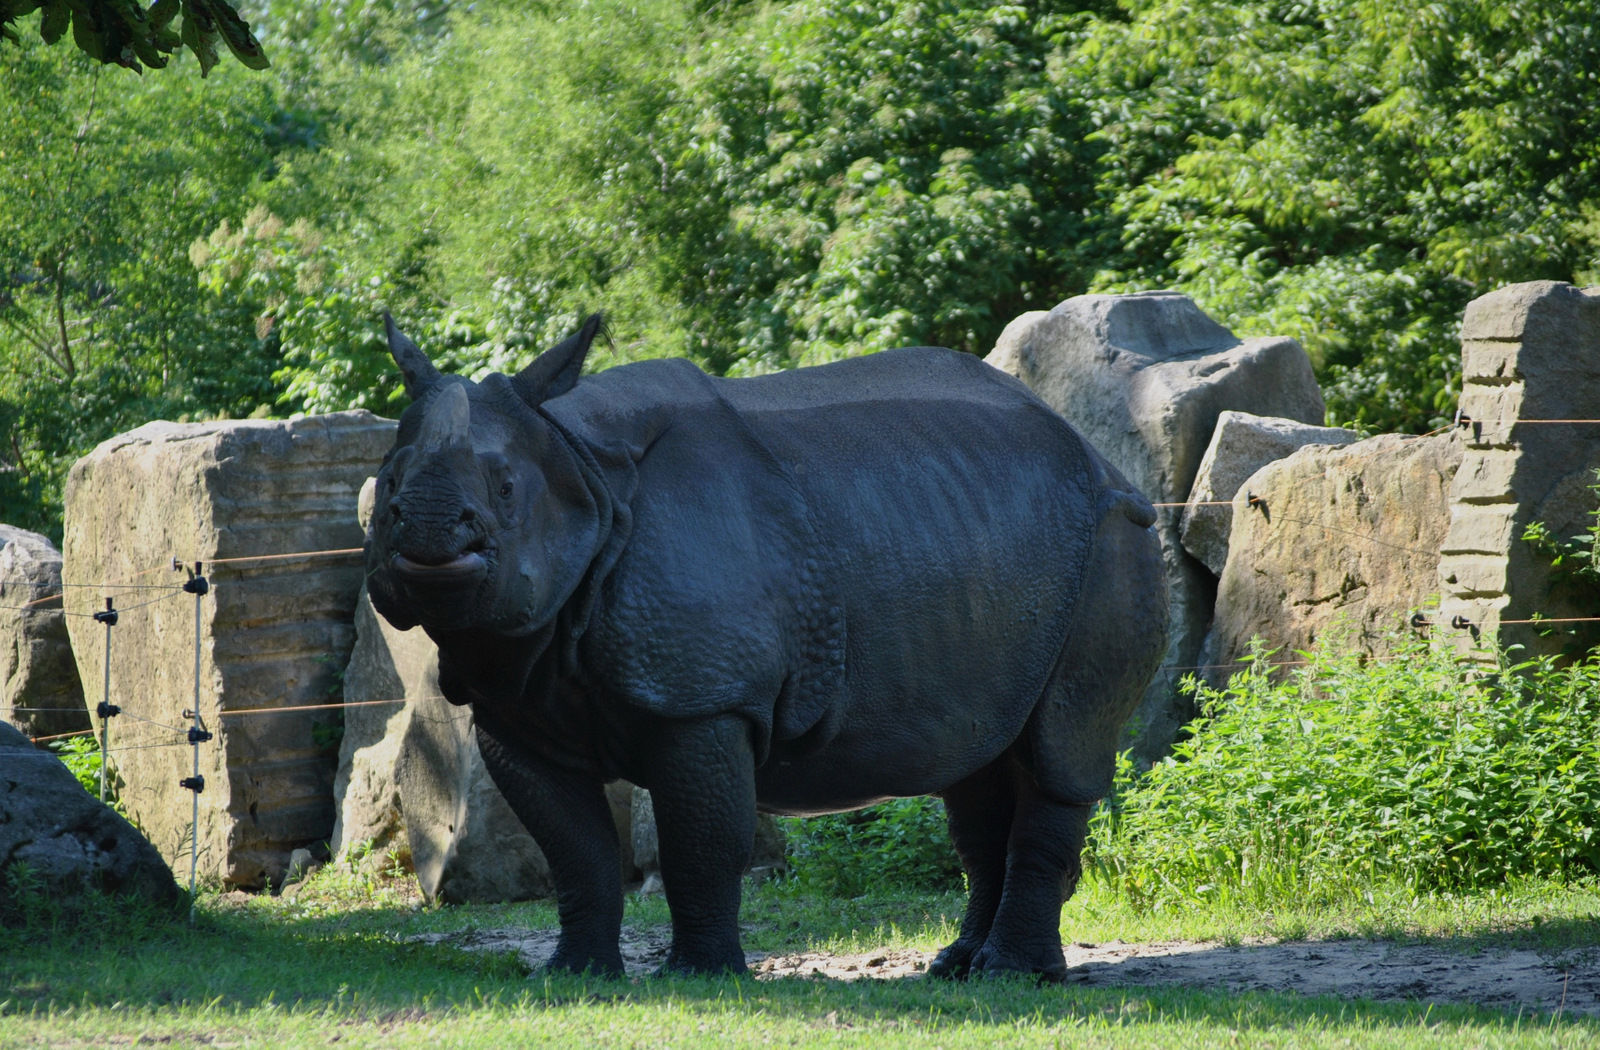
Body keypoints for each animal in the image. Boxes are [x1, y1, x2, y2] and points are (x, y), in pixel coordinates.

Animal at [366, 314, 1168, 980]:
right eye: (388, 484)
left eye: (506, 489)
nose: (426, 530)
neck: (580, 466)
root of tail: (1095, 454)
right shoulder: (515, 706)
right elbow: (574, 851)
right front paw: (575, 976)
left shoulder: (706, 699)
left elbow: (702, 842)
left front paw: (700, 978)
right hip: (983, 538)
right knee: (978, 766)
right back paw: (958, 968)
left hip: (1111, 541)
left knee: (1060, 750)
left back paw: (1010, 976)